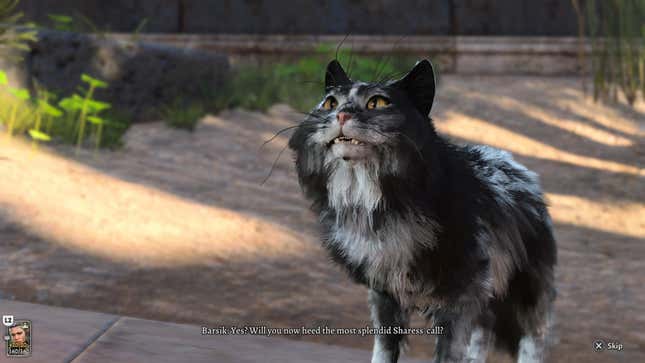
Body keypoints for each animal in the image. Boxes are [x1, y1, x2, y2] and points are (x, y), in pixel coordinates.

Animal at [286, 60, 552, 363]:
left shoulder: (460, 299)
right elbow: (383, 352)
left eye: (378, 102)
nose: (341, 115)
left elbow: (448, 355)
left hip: (525, 294)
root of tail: (518, 168)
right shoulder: (385, 296)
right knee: (483, 335)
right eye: (330, 102)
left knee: (534, 338)